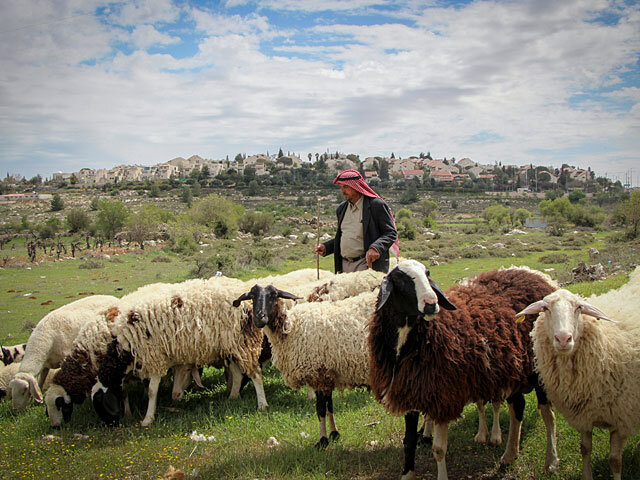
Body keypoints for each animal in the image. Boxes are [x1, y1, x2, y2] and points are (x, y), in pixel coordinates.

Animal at [234, 284, 376, 448]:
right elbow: (329, 406)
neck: (290, 328)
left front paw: (323, 440)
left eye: (274, 294)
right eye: (252, 296)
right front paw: (334, 434)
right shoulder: (327, 375)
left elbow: (320, 409)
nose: (259, 318)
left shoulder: (318, 374)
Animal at [370, 260, 560, 480]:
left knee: (548, 415)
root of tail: (535, 276)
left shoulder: (443, 398)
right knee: (518, 407)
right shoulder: (410, 392)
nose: (431, 304)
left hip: (540, 367)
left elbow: (438, 449)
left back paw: (551, 461)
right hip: (513, 369)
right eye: (401, 279)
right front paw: (407, 475)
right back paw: (509, 455)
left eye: (428, 273)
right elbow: (408, 442)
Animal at [520, 266, 640, 480]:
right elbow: (585, 449)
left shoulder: (622, 415)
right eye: (545, 308)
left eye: (579, 308)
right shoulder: (583, 415)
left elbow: (615, 460)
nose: (563, 339)